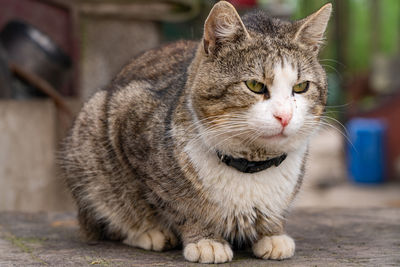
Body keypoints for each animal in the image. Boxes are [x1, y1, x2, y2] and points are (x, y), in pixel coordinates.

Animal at [58, 0, 332, 264]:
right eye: (255, 85)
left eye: (301, 87)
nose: (285, 116)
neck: (252, 164)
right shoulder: (127, 117)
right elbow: (174, 204)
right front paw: (204, 239)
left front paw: (273, 233)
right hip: (90, 129)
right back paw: (148, 233)